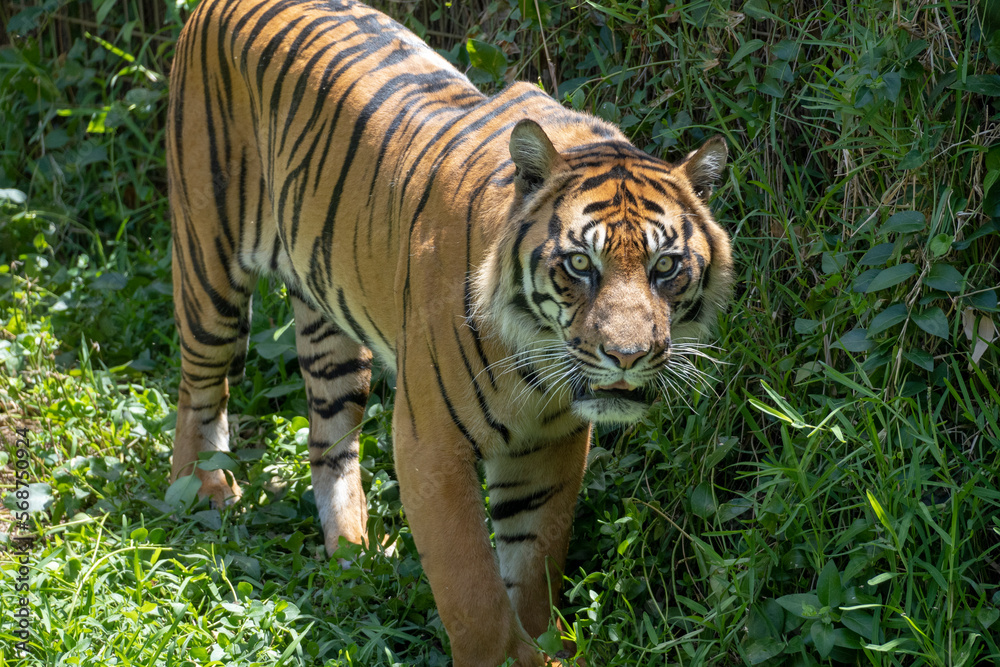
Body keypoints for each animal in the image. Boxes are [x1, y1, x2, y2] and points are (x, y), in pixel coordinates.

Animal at [166, 0, 733, 664]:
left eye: (665, 267)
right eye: (579, 265)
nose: (627, 356)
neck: (534, 367)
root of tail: (208, 10)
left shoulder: (549, 447)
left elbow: (534, 564)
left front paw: (540, 648)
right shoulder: (430, 444)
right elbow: (473, 595)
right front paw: (504, 653)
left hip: (330, 330)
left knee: (328, 441)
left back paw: (355, 557)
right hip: (208, 264)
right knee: (197, 387)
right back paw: (201, 493)